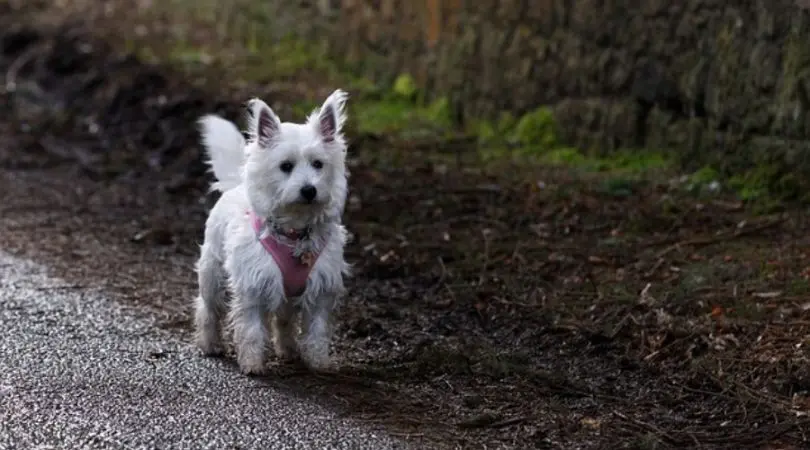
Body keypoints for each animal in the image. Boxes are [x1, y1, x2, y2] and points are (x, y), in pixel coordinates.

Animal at [195, 89, 350, 374]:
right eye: (286, 166)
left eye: (318, 164)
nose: (309, 190)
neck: (295, 232)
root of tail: (235, 186)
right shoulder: (253, 286)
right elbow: (252, 330)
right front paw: (253, 364)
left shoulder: (321, 289)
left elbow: (317, 330)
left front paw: (318, 362)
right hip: (212, 275)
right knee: (208, 310)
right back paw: (210, 344)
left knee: (284, 321)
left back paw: (288, 350)